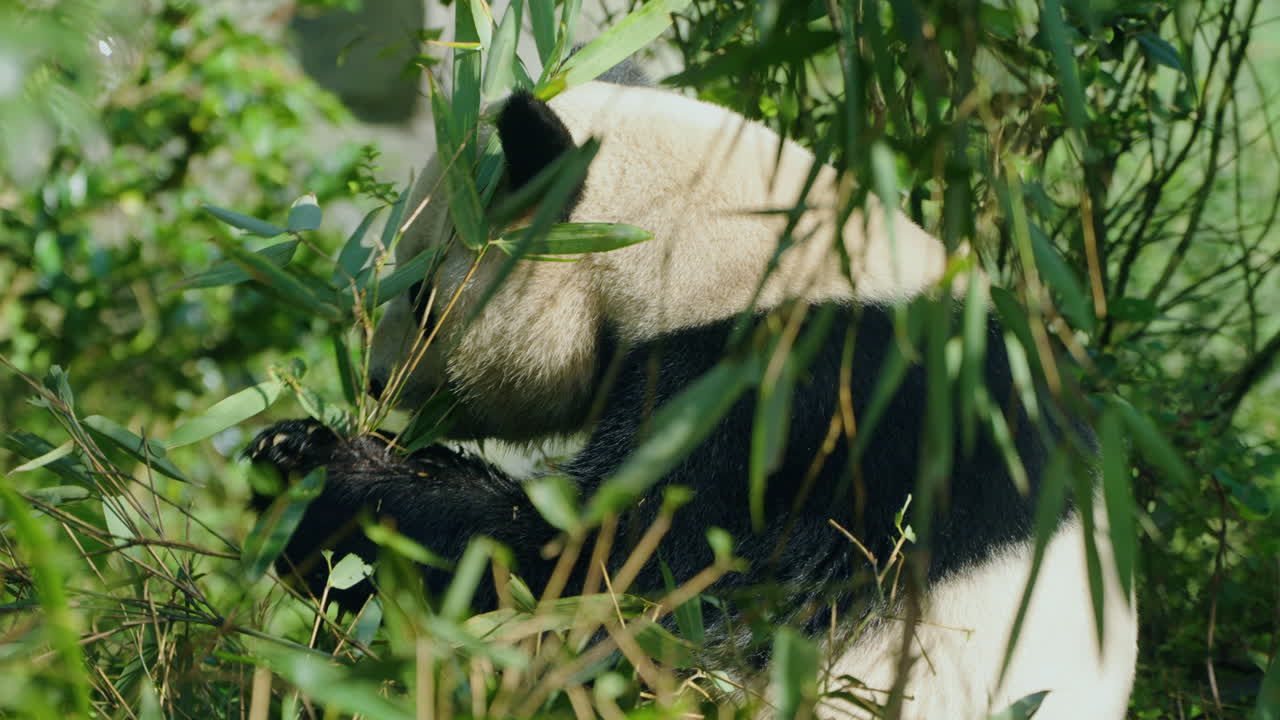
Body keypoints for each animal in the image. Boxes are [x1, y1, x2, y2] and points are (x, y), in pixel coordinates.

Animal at [249, 63, 1138, 719]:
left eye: (426, 298)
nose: (376, 380)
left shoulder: (795, 402)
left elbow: (600, 569)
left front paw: (324, 475)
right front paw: (292, 449)